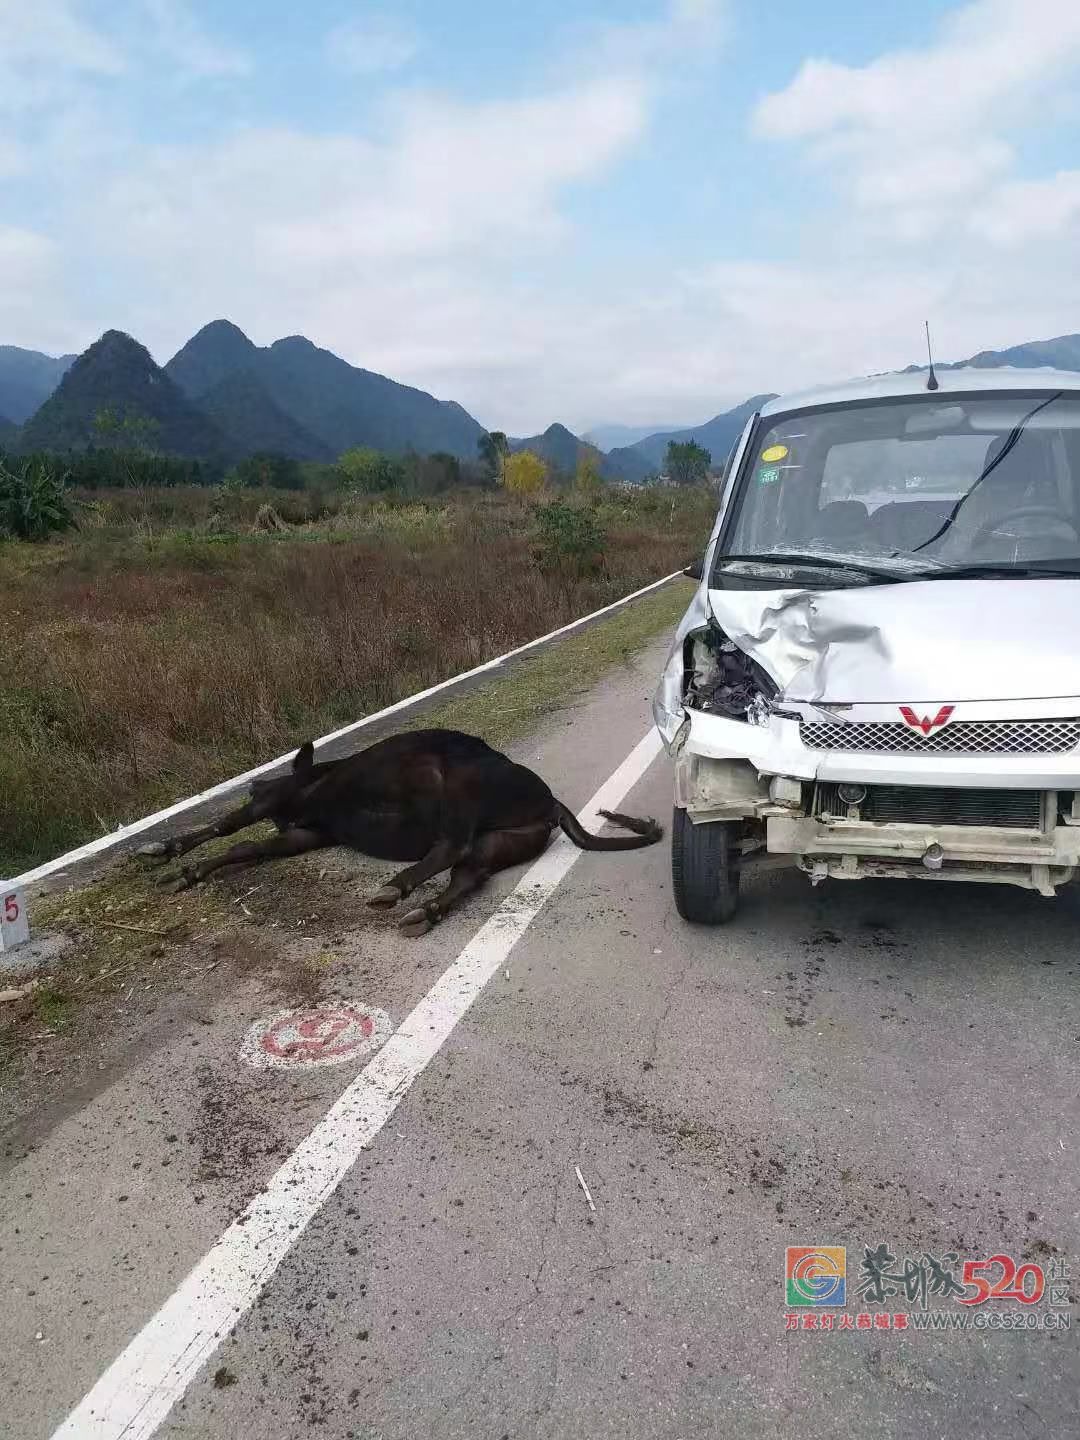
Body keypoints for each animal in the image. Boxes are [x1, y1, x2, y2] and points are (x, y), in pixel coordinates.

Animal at [139, 731, 665, 933]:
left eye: (260, 786)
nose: (255, 783)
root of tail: (552, 802)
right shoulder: (306, 833)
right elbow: (248, 845)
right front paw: (186, 872)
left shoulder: (279, 803)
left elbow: (229, 824)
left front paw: (167, 853)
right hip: (505, 839)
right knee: (468, 873)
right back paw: (424, 910)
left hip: (448, 777)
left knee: (451, 846)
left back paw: (396, 888)